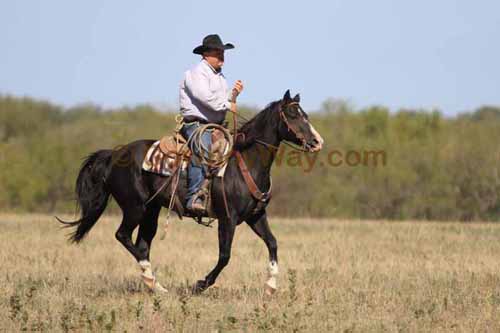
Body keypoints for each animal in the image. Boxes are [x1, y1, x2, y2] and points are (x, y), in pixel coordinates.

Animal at [58, 90, 324, 294]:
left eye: (306, 115)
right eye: (293, 115)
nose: (317, 142)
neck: (246, 162)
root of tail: (114, 154)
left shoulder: (255, 216)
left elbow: (273, 243)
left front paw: (270, 286)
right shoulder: (227, 219)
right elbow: (225, 256)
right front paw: (200, 285)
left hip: (151, 211)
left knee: (142, 244)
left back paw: (156, 286)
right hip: (135, 207)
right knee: (123, 236)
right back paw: (152, 279)